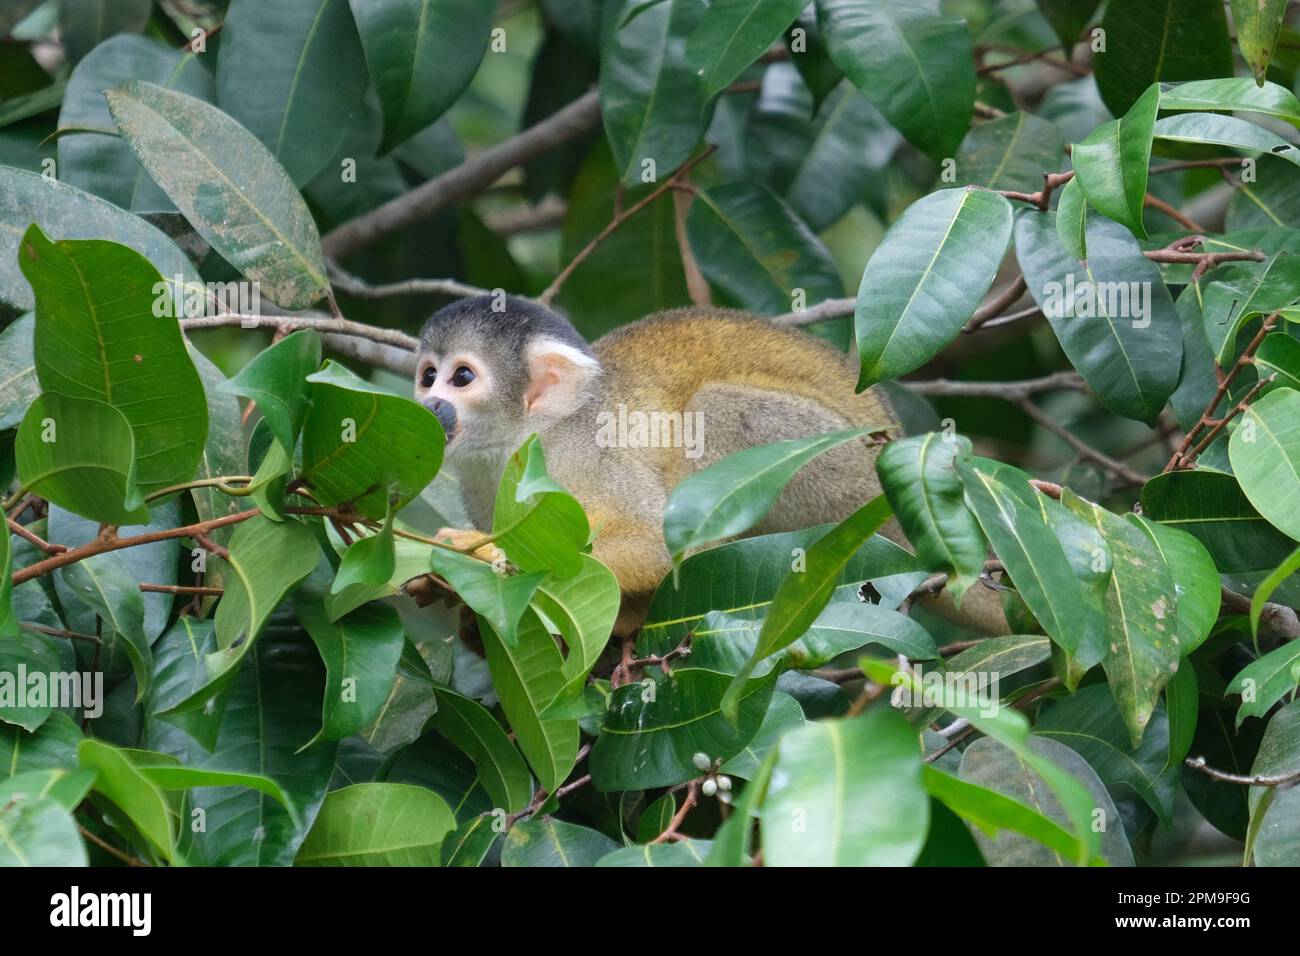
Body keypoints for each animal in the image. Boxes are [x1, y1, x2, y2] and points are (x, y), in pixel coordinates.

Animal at [414, 294, 1004, 637]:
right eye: (428, 376)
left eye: (462, 378)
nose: (429, 404)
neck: (524, 438)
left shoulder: (583, 458)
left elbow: (652, 543)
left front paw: (489, 553)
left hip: (849, 479)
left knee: (714, 411)